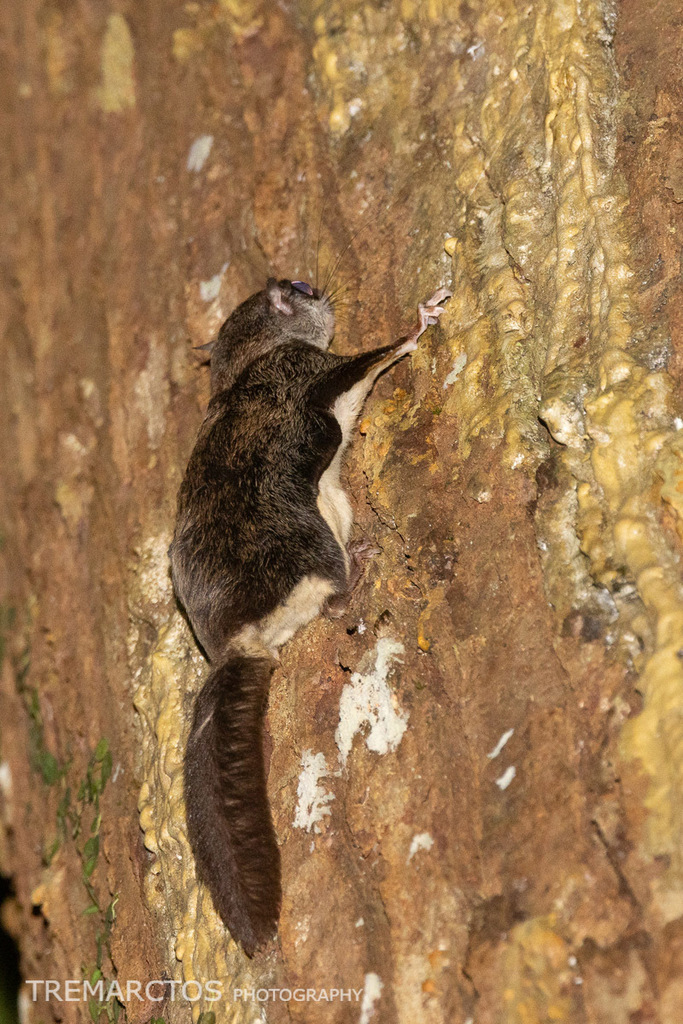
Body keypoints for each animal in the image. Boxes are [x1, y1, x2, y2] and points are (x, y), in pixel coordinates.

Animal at [169, 277, 451, 955]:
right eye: (295, 289)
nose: (315, 286)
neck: (244, 366)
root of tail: (235, 644)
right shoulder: (308, 370)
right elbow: (373, 359)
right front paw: (420, 321)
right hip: (308, 540)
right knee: (335, 598)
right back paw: (361, 577)